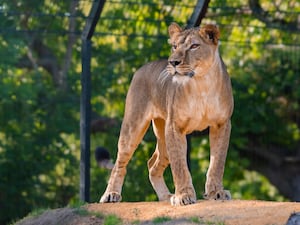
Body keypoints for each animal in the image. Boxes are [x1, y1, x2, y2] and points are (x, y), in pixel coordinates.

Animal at [99, 22, 233, 206]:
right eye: (174, 46)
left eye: (194, 46)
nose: (173, 62)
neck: (201, 84)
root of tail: (141, 68)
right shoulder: (175, 127)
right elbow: (180, 167)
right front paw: (183, 195)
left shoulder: (222, 124)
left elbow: (217, 162)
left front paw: (216, 192)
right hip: (133, 127)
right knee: (120, 163)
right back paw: (111, 194)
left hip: (162, 138)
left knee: (152, 165)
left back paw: (166, 196)